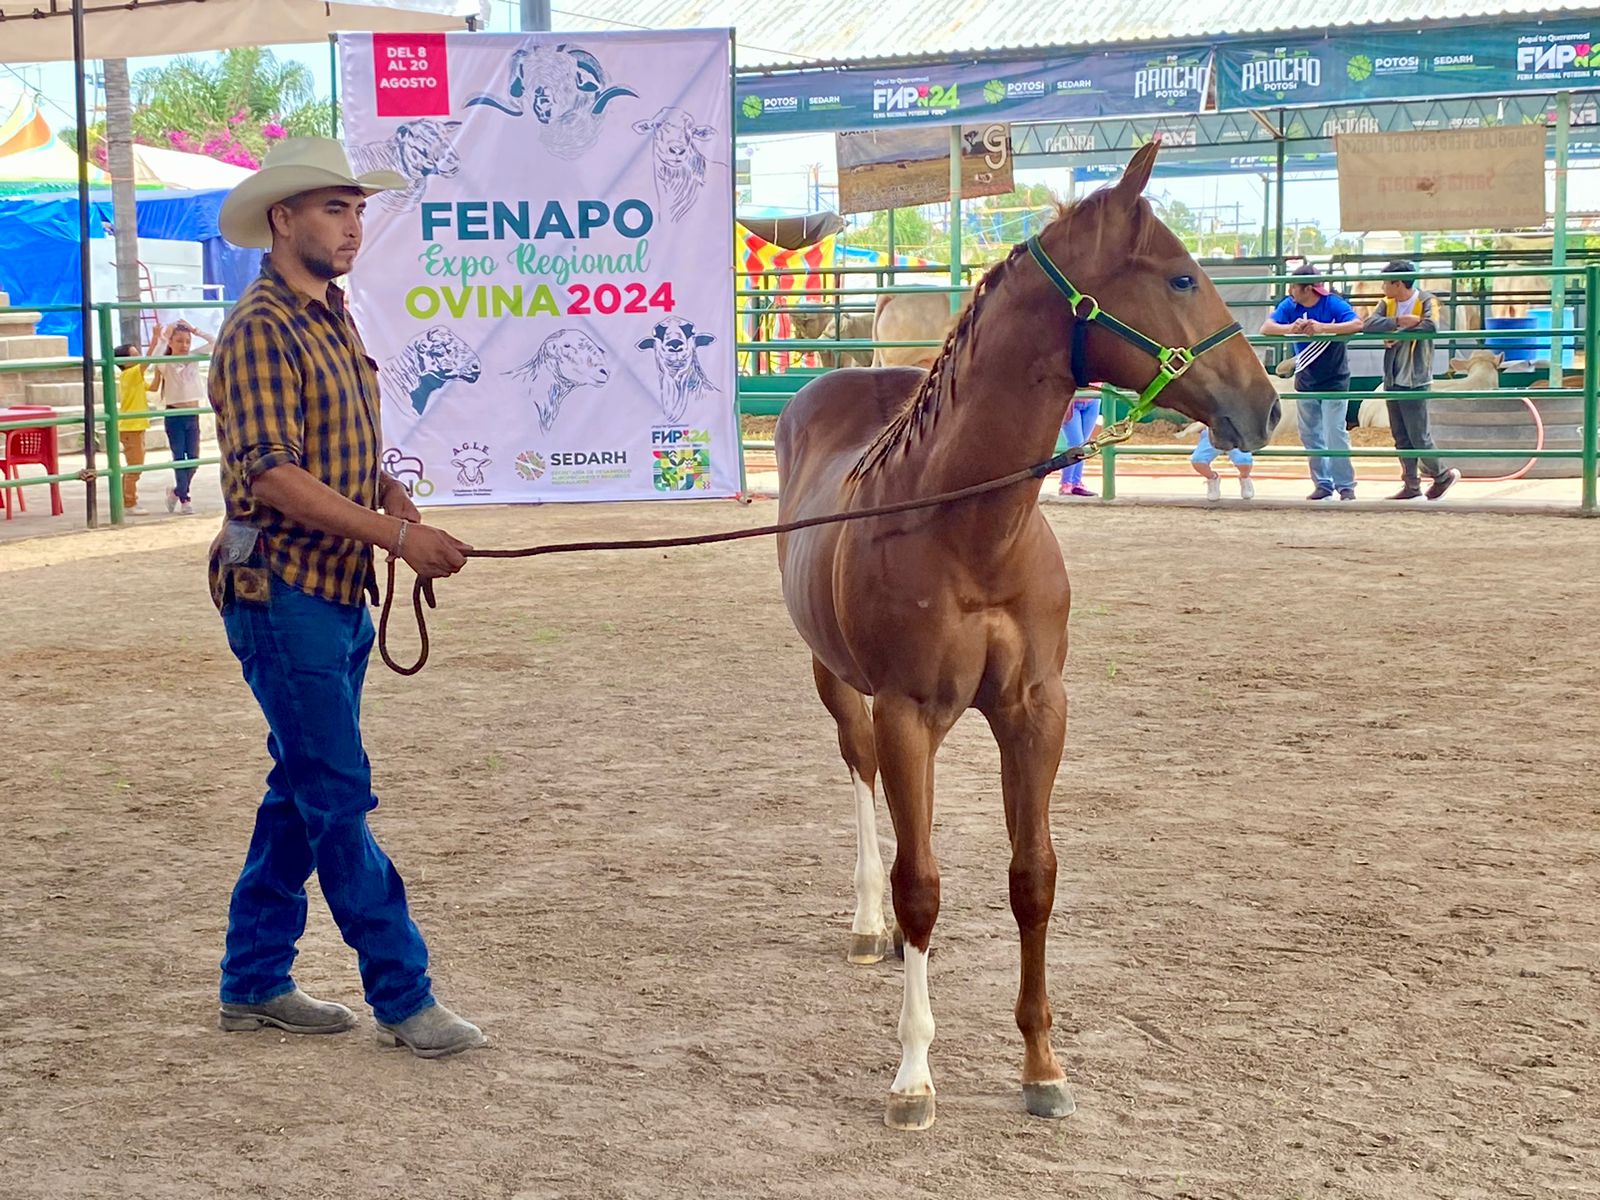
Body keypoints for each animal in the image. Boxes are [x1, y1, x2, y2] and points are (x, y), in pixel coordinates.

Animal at [768, 145, 1280, 1132]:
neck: (968, 527)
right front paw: (914, 1076)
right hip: (835, 679)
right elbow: (922, 886)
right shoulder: (906, 713)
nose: (1266, 406)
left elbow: (1032, 877)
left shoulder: (1035, 710)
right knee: (862, 784)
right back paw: (868, 926)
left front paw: (1043, 1066)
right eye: (1181, 276)